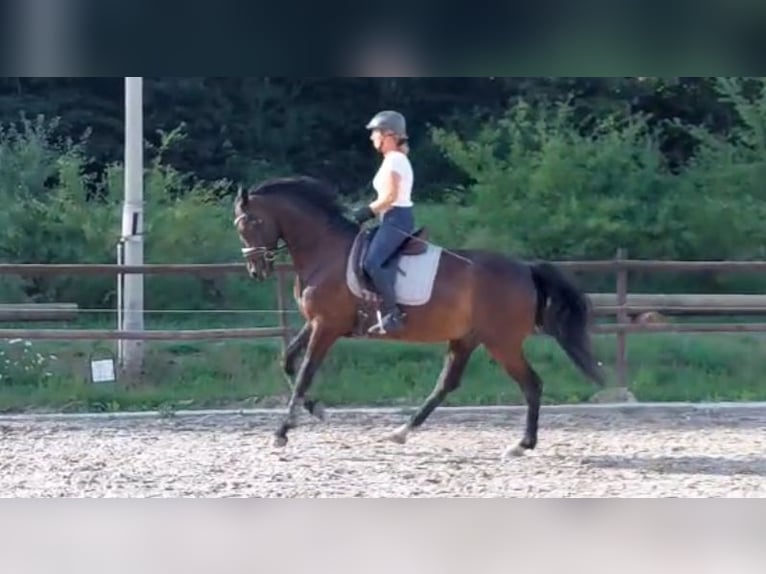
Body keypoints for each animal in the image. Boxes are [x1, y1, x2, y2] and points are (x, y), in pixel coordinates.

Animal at [233, 175, 606, 459]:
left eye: (249, 223)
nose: (255, 270)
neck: (325, 251)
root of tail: (525, 268)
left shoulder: (326, 326)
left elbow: (304, 374)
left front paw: (282, 432)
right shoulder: (316, 323)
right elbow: (287, 362)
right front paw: (317, 410)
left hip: (502, 343)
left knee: (531, 384)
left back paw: (522, 444)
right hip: (466, 338)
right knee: (446, 384)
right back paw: (402, 431)